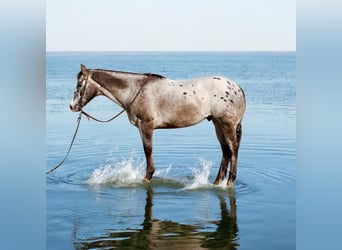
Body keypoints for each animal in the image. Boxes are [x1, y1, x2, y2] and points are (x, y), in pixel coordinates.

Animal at [70, 65, 246, 188]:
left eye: (79, 84)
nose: (72, 106)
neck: (136, 90)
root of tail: (237, 87)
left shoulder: (146, 125)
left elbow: (148, 150)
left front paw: (147, 177)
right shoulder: (142, 127)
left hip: (227, 125)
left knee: (233, 149)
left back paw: (230, 181)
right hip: (217, 124)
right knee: (226, 151)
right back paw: (217, 182)